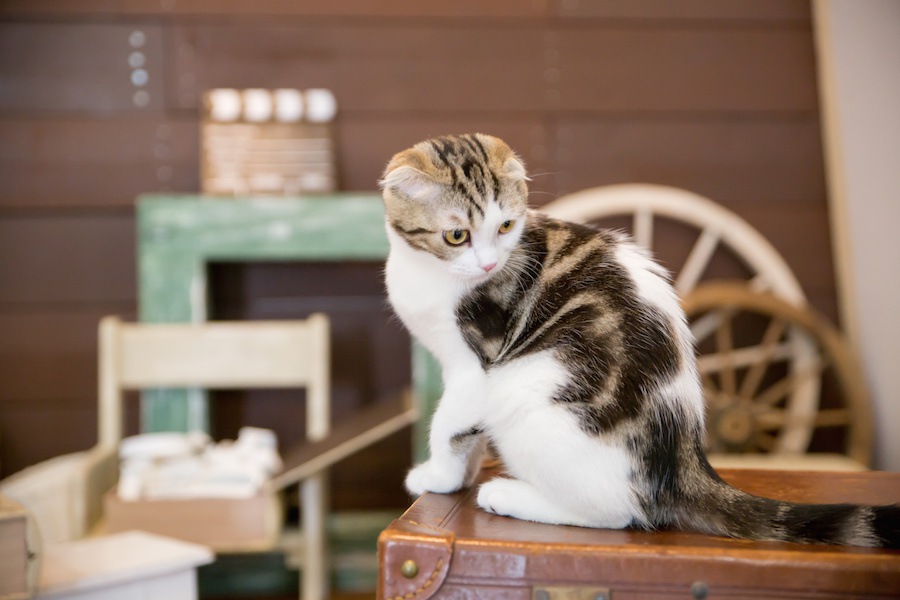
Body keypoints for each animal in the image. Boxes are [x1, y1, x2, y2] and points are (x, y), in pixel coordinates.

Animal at [380, 132, 900, 548]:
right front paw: (461, 473)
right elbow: (465, 432)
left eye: (506, 226)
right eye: (456, 235)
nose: (489, 264)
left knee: (620, 513)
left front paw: (438, 477)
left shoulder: (475, 366)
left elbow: (449, 425)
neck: (427, 271)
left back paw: (510, 495)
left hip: (528, 391)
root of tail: (684, 461)